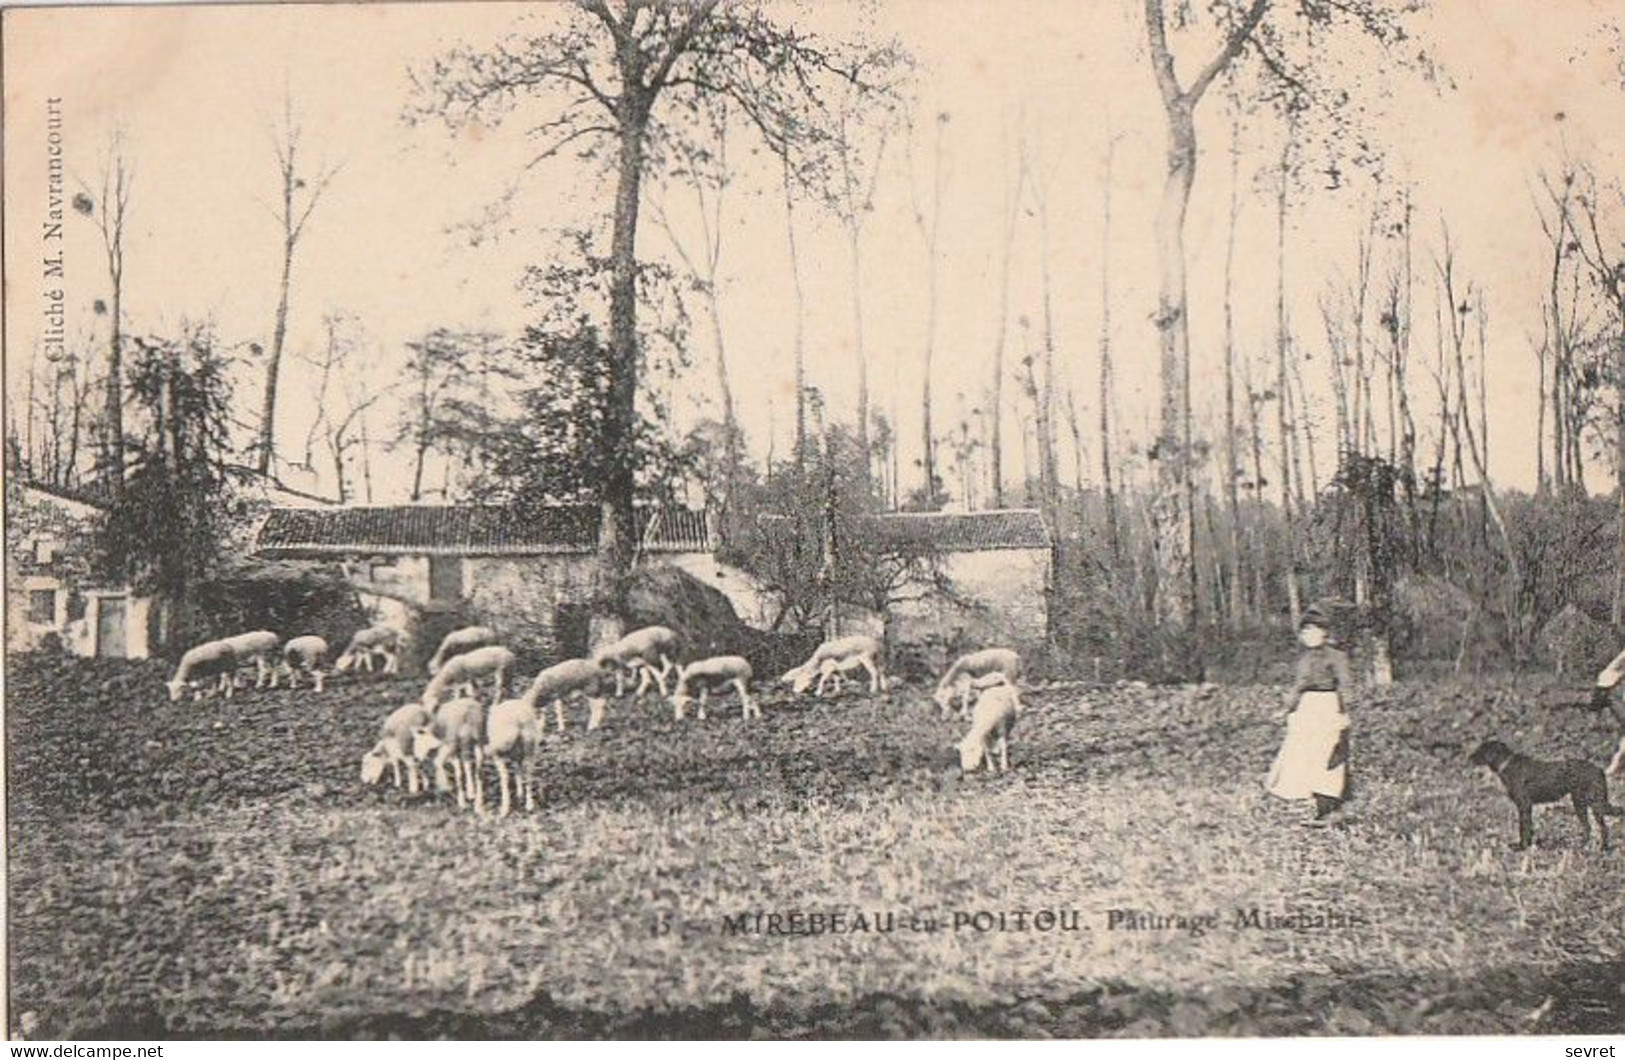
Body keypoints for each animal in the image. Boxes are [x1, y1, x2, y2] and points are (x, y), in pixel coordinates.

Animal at [1469, 741, 1618, 851]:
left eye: (1481, 750)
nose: (1469, 757)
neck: (1505, 763)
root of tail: (1598, 768)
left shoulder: (1524, 804)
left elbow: (1523, 827)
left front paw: (1521, 846)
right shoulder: (1527, 806)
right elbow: (1528, 826)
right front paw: (1528, 845)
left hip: (1583, 802)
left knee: (1592, 826)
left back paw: (1586, 847)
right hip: (1592, 803)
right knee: (1599, 826)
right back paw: (1598, 847)